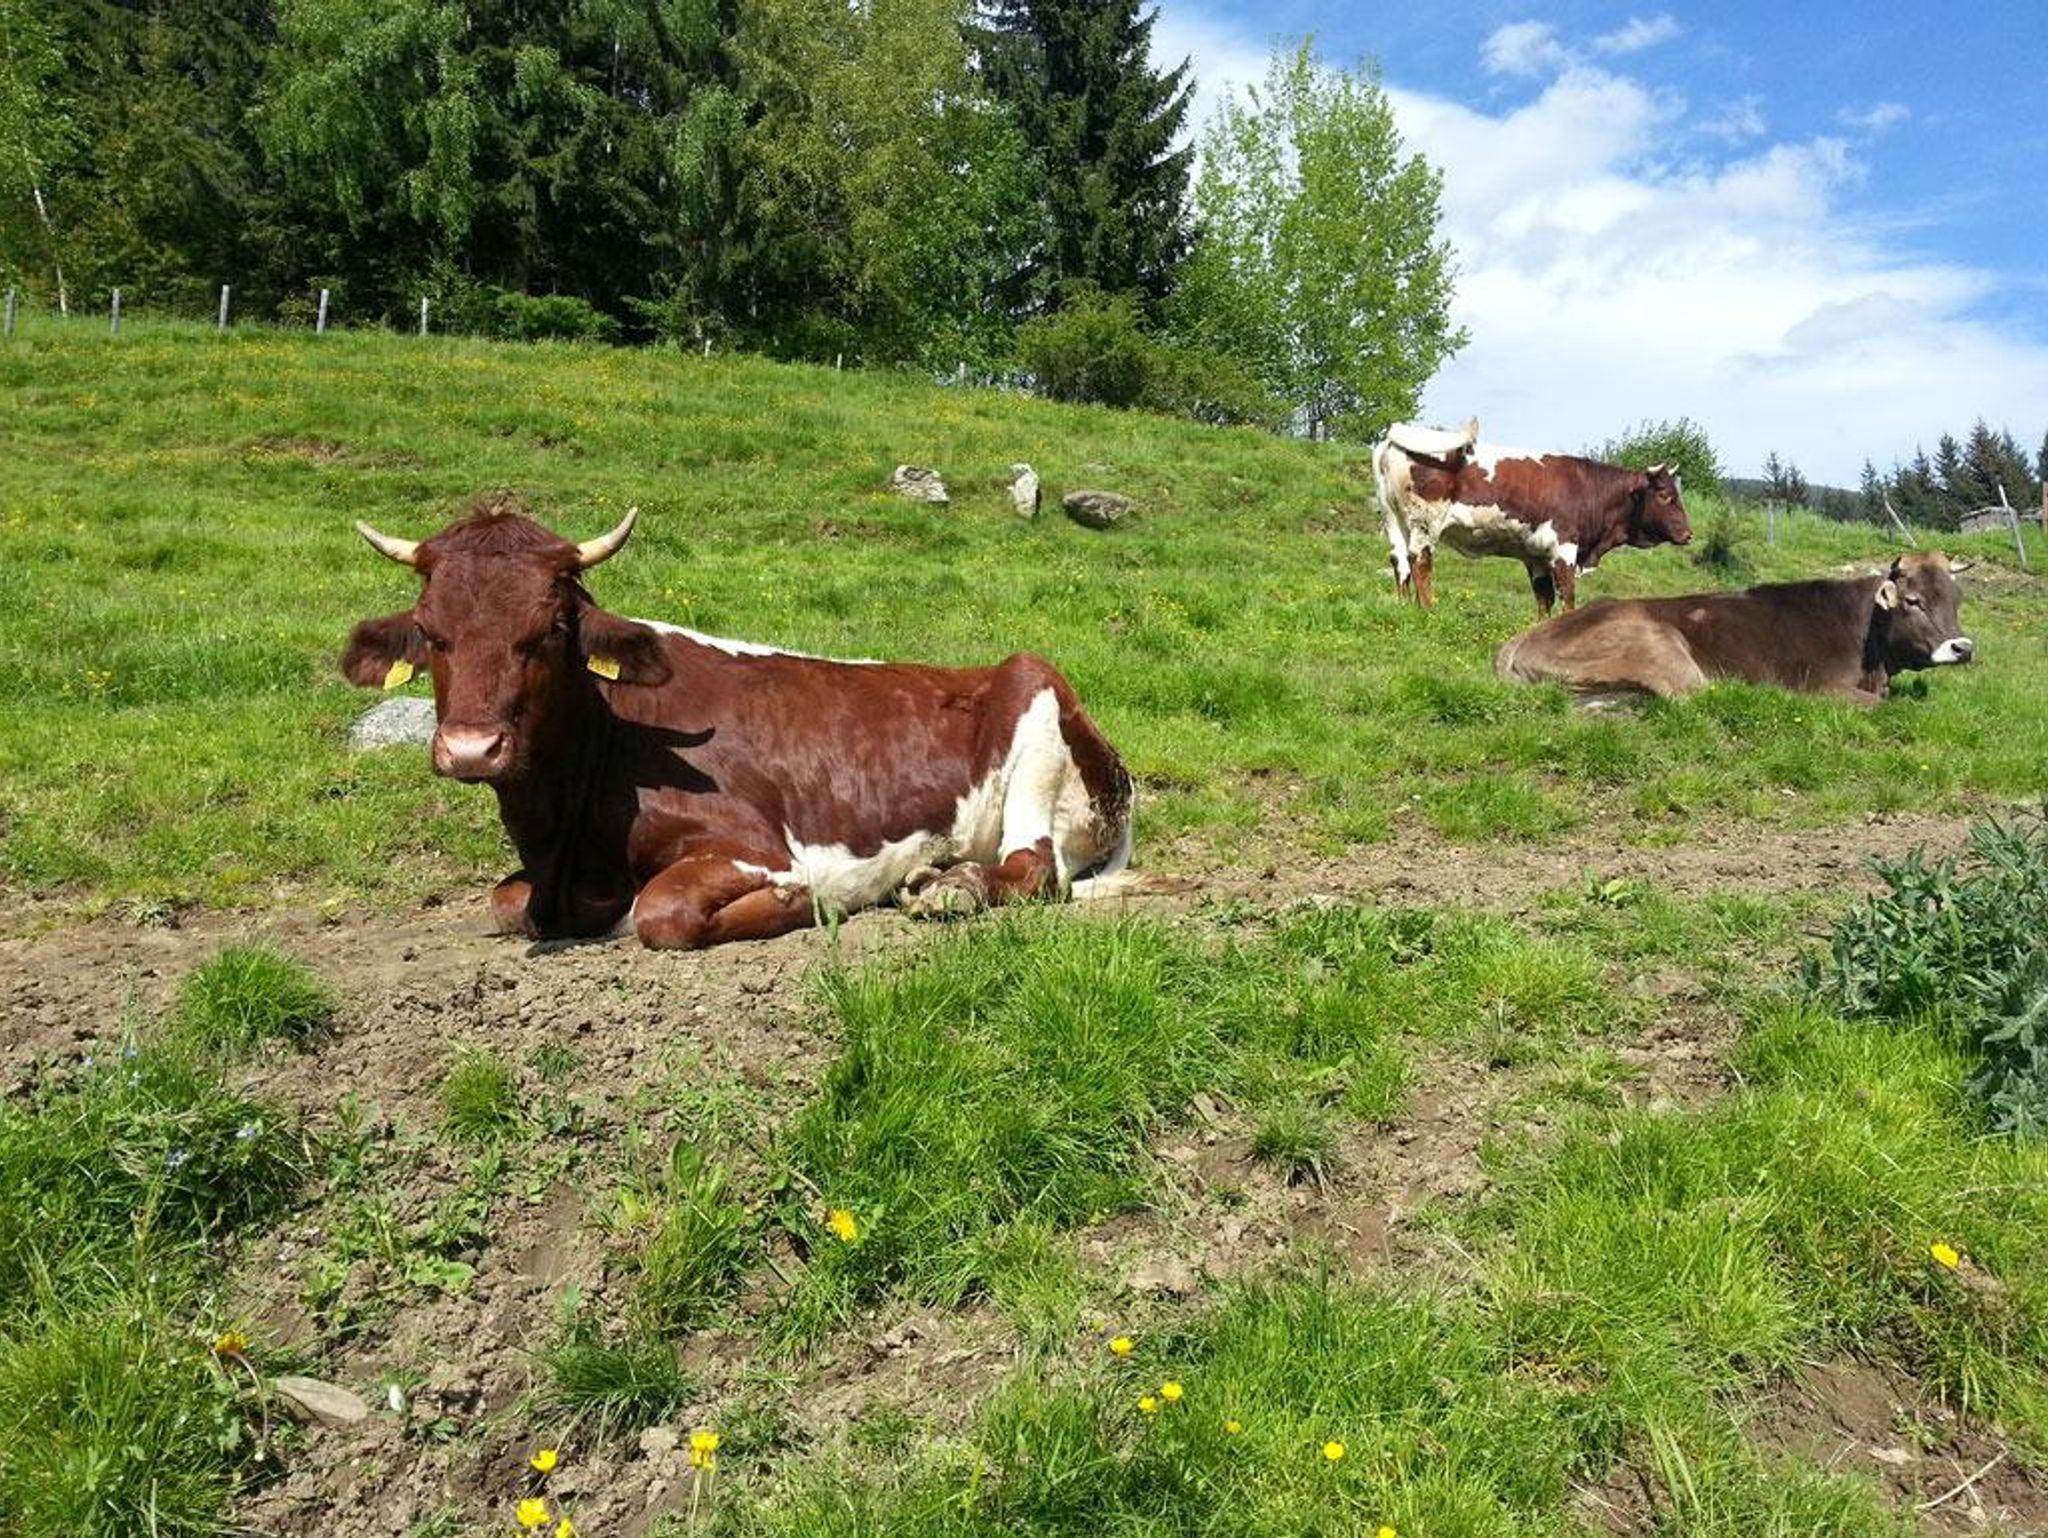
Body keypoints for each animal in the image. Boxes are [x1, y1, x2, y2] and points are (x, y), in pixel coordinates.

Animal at [341, 498, 1142, 949]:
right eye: (431, 632)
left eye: (552, 629)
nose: (471, 749)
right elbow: (508, 903)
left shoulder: (760, 848)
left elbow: (662, 911)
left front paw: (809, 904)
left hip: (1036, 714)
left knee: (1034, 869)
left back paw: (954, 888)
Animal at [1373, 418, 1692, 614]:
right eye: (1666, 496)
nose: (1688, 534)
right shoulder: (1564, 546)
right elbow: (1567, 594)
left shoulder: (1536, 555)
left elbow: (1543, 599)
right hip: (1425, 520)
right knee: (1420, 560)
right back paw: (1429, 609)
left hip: (1393, 518)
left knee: (1399, 560)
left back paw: (1405, 607)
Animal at [1495, 551, 1975, 702]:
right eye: (1913, 601)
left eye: (1956, 600)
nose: (1963, 648)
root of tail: (1516, 641)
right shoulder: (1821, 688)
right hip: (1663, 649)